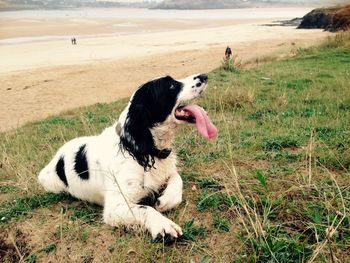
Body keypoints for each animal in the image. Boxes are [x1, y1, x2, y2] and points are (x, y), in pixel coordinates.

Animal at [39, 73, 217, 242]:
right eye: (172, 85)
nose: (204, 76)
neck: (143, 151)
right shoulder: (115, 206)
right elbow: (146, 209)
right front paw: (163, 226)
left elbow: (177, 178)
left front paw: (166, 199)